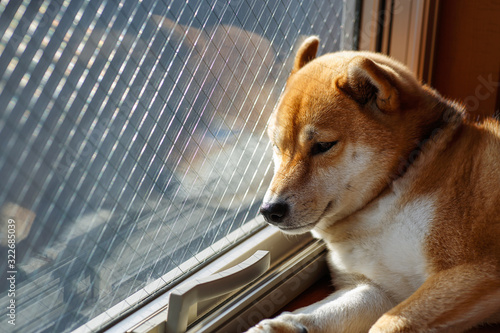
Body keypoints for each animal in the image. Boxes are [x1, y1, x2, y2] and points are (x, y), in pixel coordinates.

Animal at [248, 36, 500, 332]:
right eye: (277, 147)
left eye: (323, 146)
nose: (269, 210)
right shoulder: (382, 289)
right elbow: (317, 314)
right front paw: (277, 326)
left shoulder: (475, 269)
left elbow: (386, 324)